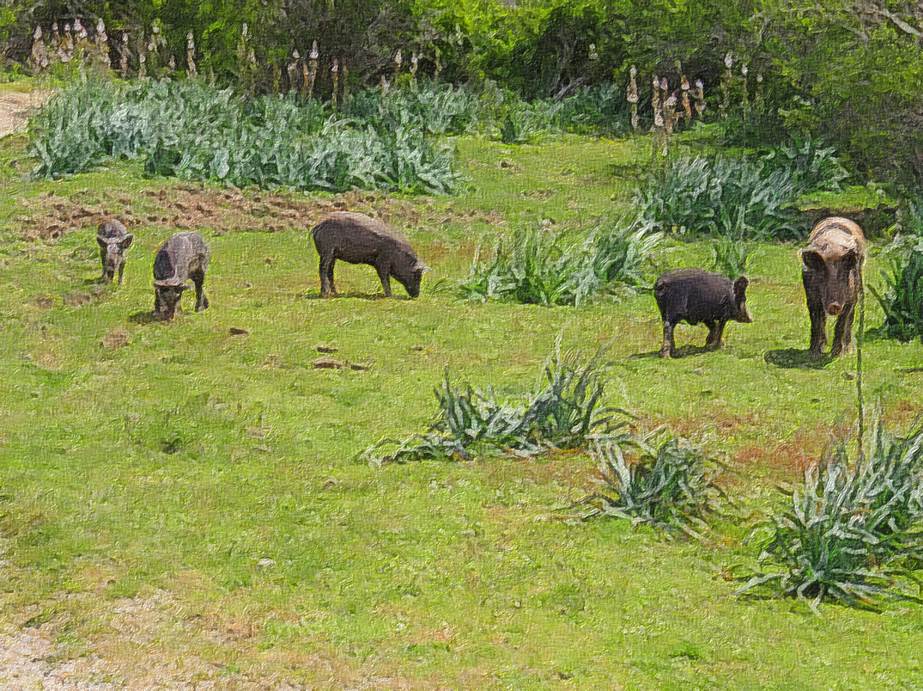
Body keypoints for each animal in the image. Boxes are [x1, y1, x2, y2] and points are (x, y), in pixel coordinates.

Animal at [800, 216, 868, 356]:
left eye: (844, 275)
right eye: (823, 274)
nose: (834, 305)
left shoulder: (849, 299)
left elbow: (841, 324)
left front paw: (838, 354)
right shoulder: (811, 298)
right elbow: (816, 322)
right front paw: (814, 353)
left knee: (850, 319)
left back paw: (849, 350)